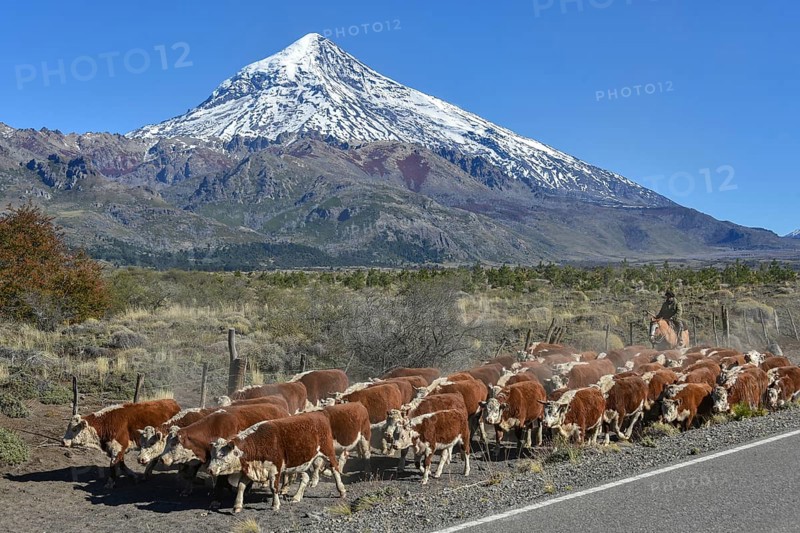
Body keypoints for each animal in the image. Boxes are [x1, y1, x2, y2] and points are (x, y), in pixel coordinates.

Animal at [208, 412, 346, 512]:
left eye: (222, 454)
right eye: (211, 454)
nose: (210, 470)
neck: (259, 443)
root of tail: (319, 414)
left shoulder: (275, 469)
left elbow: (273, 487)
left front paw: (275, 505)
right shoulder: (252, 469)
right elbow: (241, 486)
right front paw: (237, 506)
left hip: (328, 452)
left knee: (335, 470)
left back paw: (342, 491)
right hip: (300, 464)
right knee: (305, 477)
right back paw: (296, 497)